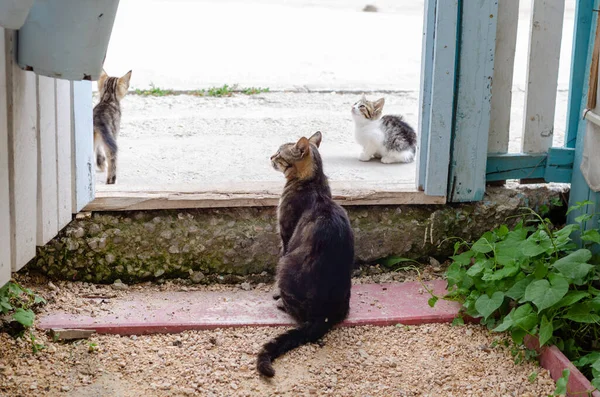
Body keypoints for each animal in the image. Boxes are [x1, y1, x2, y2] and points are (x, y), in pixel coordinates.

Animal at [255, 131, 354, 376]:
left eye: (279, 154)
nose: (270, 156)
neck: (313, 182)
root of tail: (324, 316)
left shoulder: (285, 235)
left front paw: (275, 294)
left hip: (287, 265)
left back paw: (281, 303)